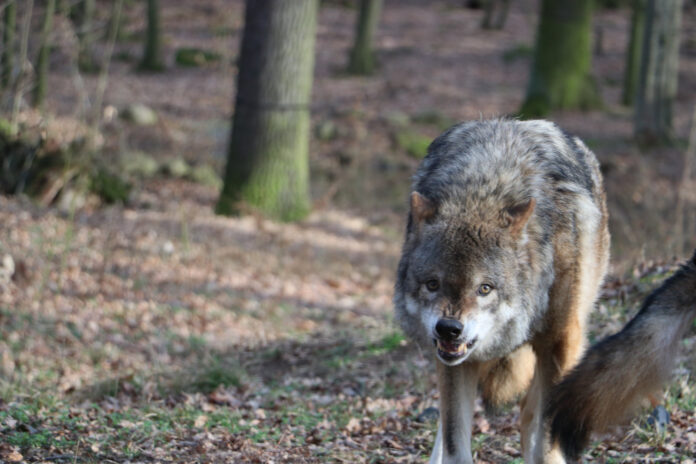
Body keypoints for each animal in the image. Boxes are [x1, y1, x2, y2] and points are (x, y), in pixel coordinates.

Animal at [394, 118, 612, 462]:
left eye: (485, 288)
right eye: (432, 284)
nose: (449, 329)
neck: (486, 188)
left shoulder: (560, 344)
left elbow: (547, 436)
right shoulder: (455, 361)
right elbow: (455, 443)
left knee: (530, 415)